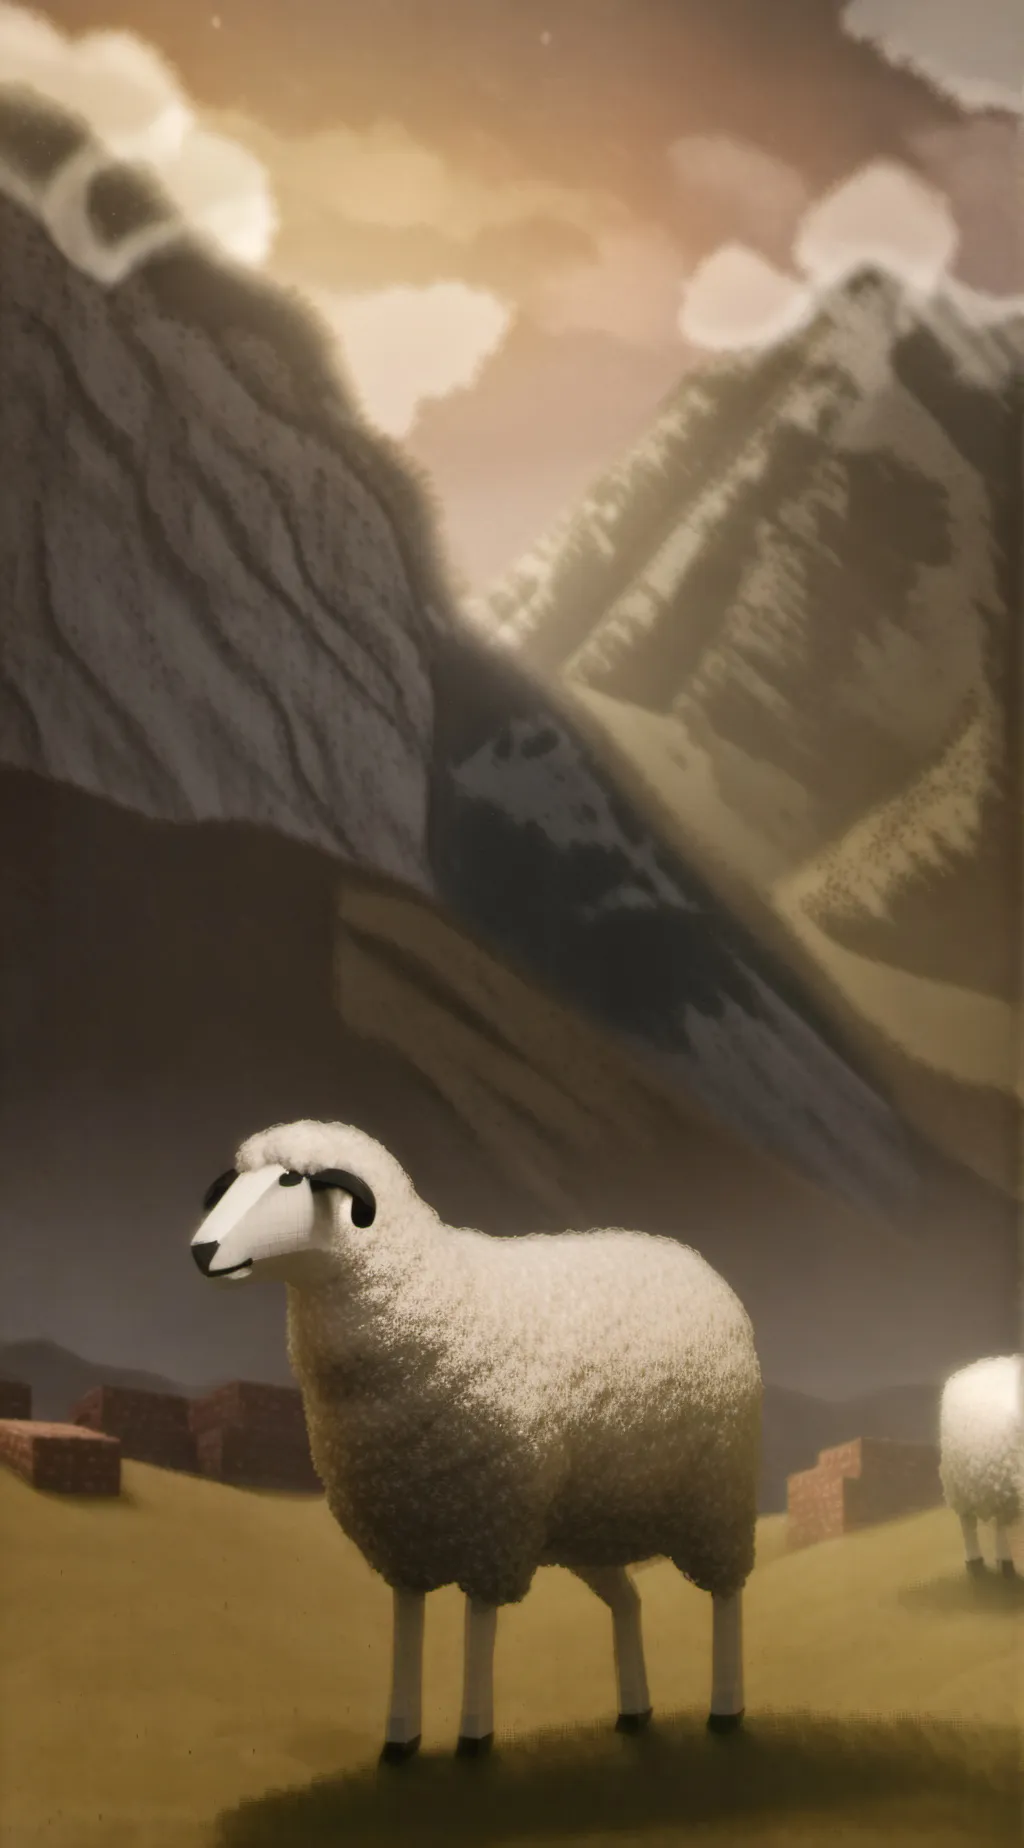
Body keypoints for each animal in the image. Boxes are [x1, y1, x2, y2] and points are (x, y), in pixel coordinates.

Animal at [189, 1118, 762, 1762]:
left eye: (290, 1180)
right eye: (235, 1181)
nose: (202, 1250)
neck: (431, 1292)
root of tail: (691, 1257)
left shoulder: (492, 1520)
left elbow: (478, 1622)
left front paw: (474, 1737)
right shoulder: (405, 1534)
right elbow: (407, 1626)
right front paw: (399, 1742)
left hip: (715, 1498)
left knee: (726, 1597)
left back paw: (725, 1709)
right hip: (592, 1522)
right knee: (629, 1602)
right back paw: (635, 1710)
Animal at [939, 1355, 1022, 1579]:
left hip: (999, 1487)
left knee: (1000, 1523)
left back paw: (1004, 1561)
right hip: (958, 1484)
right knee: (967, 1523)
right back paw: (974, 1561)